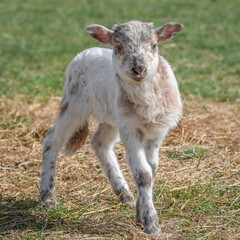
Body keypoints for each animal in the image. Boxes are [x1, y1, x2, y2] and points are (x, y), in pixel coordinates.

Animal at [39, 20, 184, 234]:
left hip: (111, 116)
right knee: (52, 139)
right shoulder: (130, 129)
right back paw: (47, 197)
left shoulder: (157, 131)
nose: (139, 69)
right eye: (119, 47)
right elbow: (143, 174)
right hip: (73, 104)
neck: (147, 100)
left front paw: (140, 213)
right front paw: (151, 224)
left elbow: (152, 169)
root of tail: (85, 52)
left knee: (99, 143)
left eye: (154, 45)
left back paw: (124, 193)